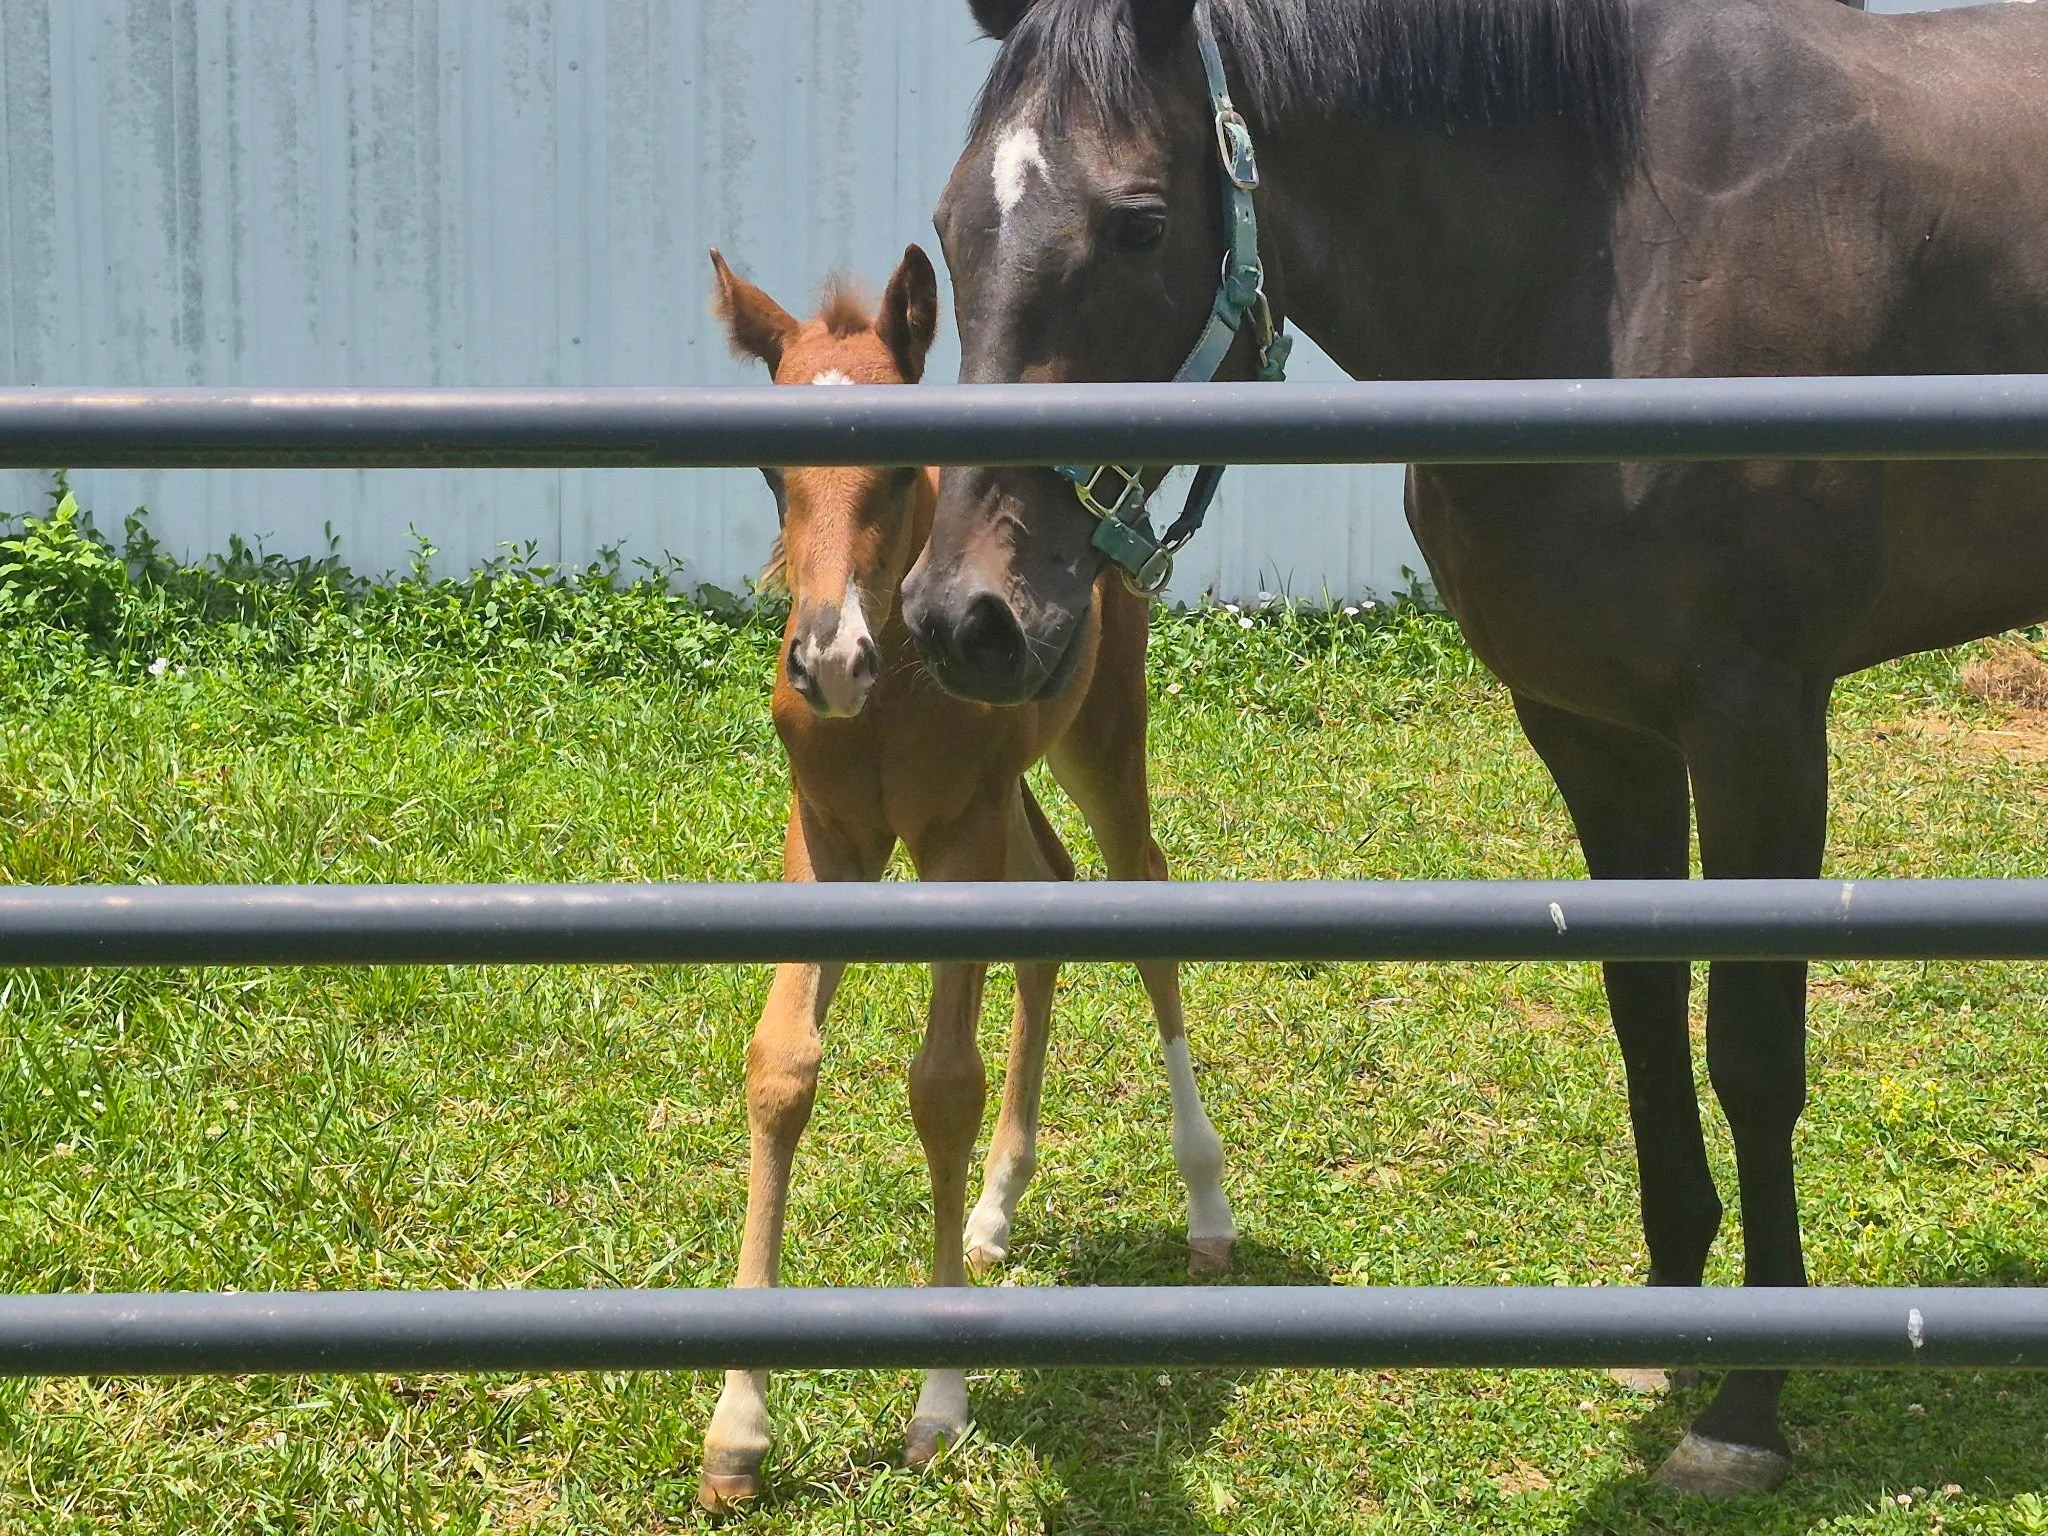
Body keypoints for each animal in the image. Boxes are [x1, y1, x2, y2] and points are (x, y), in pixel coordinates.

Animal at [697, 244, 1238, 1512]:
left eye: (901, 465)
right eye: (766, 466)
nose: (826, 658)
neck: (891, 688)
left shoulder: (952, 836)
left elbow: (940, 1083)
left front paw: (938, 1406)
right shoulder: (828, 839)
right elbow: (780, 1065)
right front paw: (737, 1428)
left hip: (1098, 743)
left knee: (1143, 897)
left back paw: (1204, 1203)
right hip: (1012, 797)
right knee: (1053, 906)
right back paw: (996, 1208)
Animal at [897, 0, 2048, 1499]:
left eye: (1138, 226)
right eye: (953, 224)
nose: (962, 619)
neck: (1610, 263)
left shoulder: (1760, 725)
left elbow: (1749, 1052)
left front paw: (1745, 1404)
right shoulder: (1592, 726)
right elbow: (1641, 1012)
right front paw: (1666, 1331)